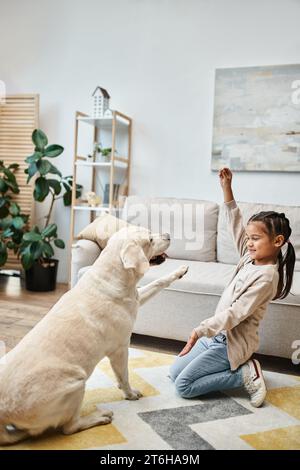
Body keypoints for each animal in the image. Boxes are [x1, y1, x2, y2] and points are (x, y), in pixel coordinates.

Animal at [0, 225, 188, 444]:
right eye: (150, 239)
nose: (168, 235)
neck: (115, 276)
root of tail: (4, 413)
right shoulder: (121, 348)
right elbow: (124, 375)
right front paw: (130, 394)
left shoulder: (137, 298)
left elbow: (158, 283)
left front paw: (180, 271)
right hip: (76, 384)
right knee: (69, 427)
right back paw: (99, 416)